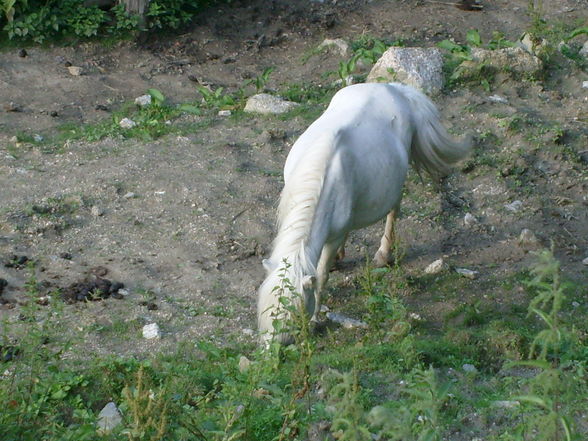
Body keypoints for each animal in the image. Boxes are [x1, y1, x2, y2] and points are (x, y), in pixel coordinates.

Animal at [260, 82, 470, 344]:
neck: (321, 176)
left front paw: (316, 318)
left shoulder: (332, 238)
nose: (271, 350)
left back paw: (383, 254)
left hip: (396, 183)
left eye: (294, 313)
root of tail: (392, 87)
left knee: (393, 212)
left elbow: (321, 276)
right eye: (266, 310)